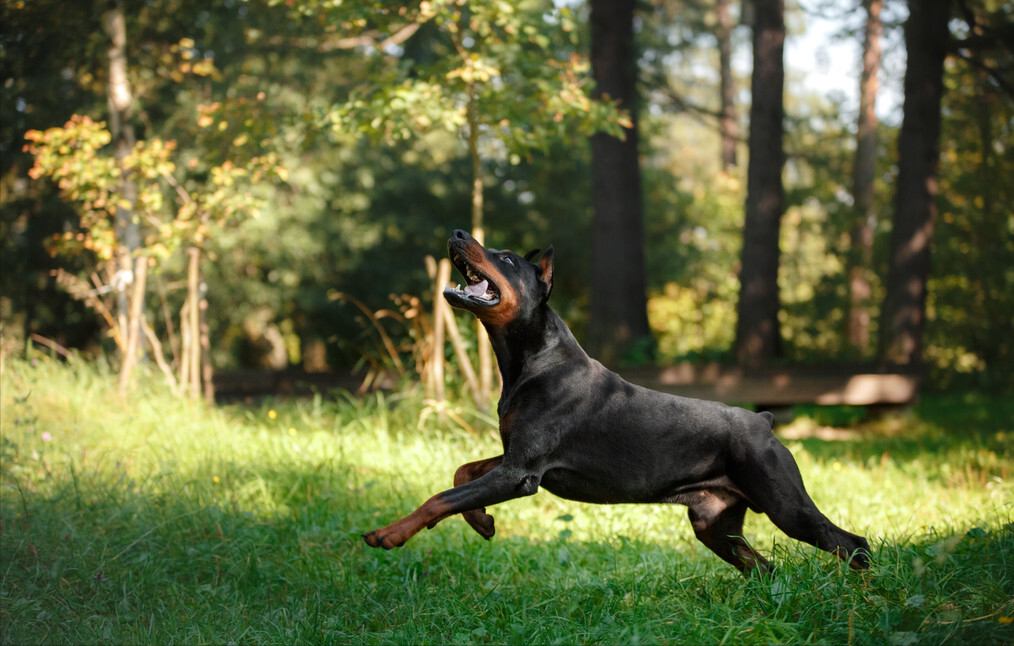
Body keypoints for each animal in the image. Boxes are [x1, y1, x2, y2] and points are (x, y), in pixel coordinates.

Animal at [360, 229, 867, 571]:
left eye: (505, 257)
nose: (458, 233)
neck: (532, 360)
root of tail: (763, 421)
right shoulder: (513, 457)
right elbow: (461, 473)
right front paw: (482, 521)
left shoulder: (521, 472)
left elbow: (439, 498)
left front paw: (388, 533)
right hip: (714, 523)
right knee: (764, 567)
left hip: (784, 503)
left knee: (852, 543)